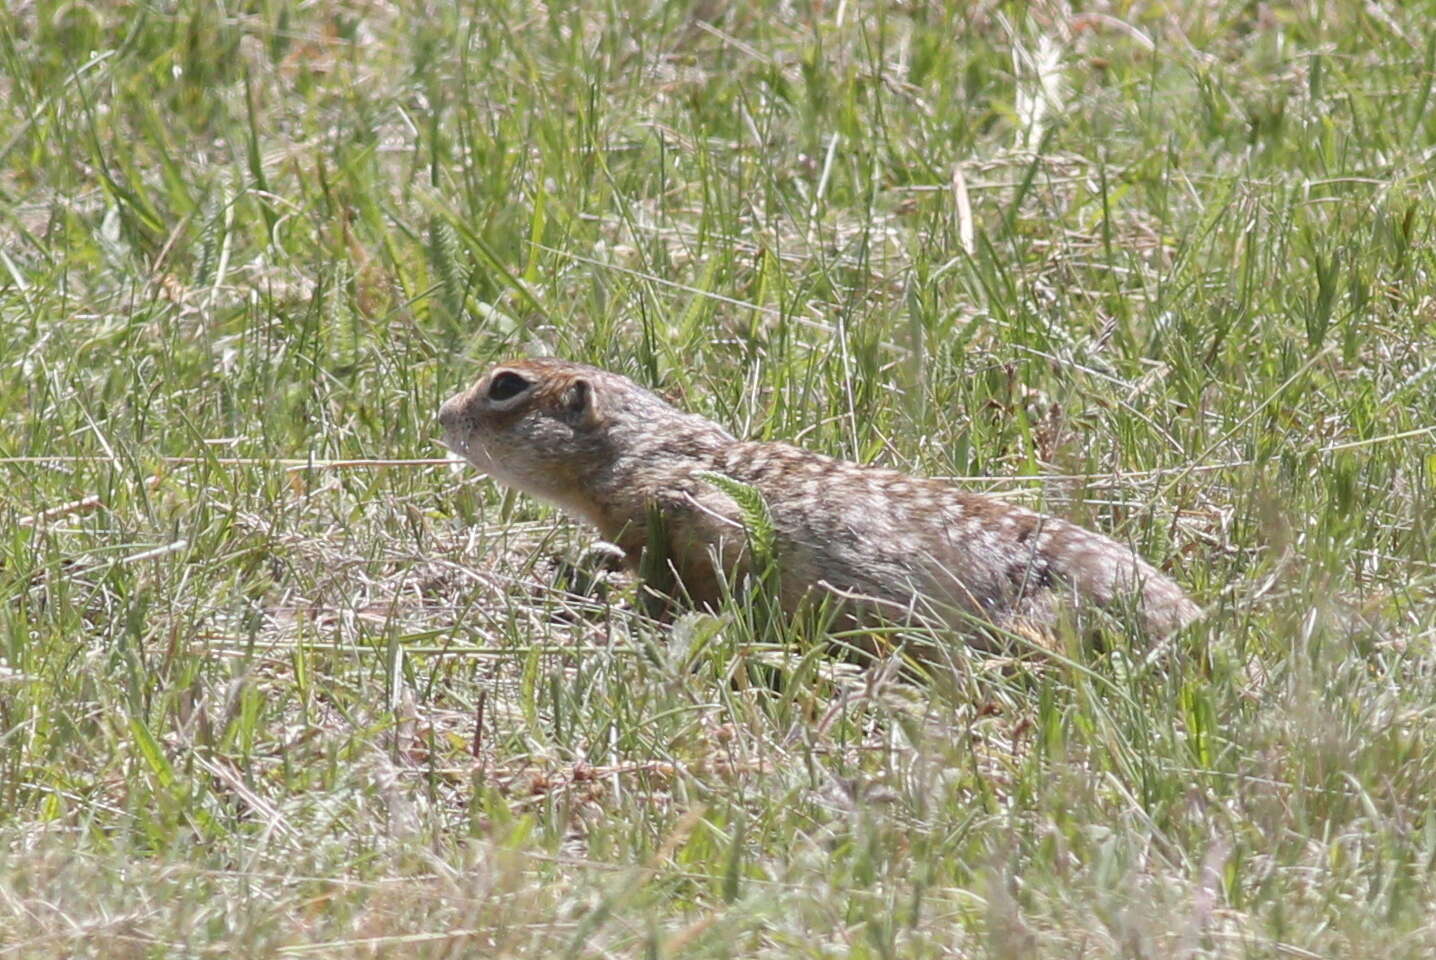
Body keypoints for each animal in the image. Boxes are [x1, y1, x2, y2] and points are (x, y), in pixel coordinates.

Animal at [436, 355, 1200, 654]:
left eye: (505, 384)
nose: (442, 415)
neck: (642, 446)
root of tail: (1189, 622)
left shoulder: (676, 509)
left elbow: (674, 577)